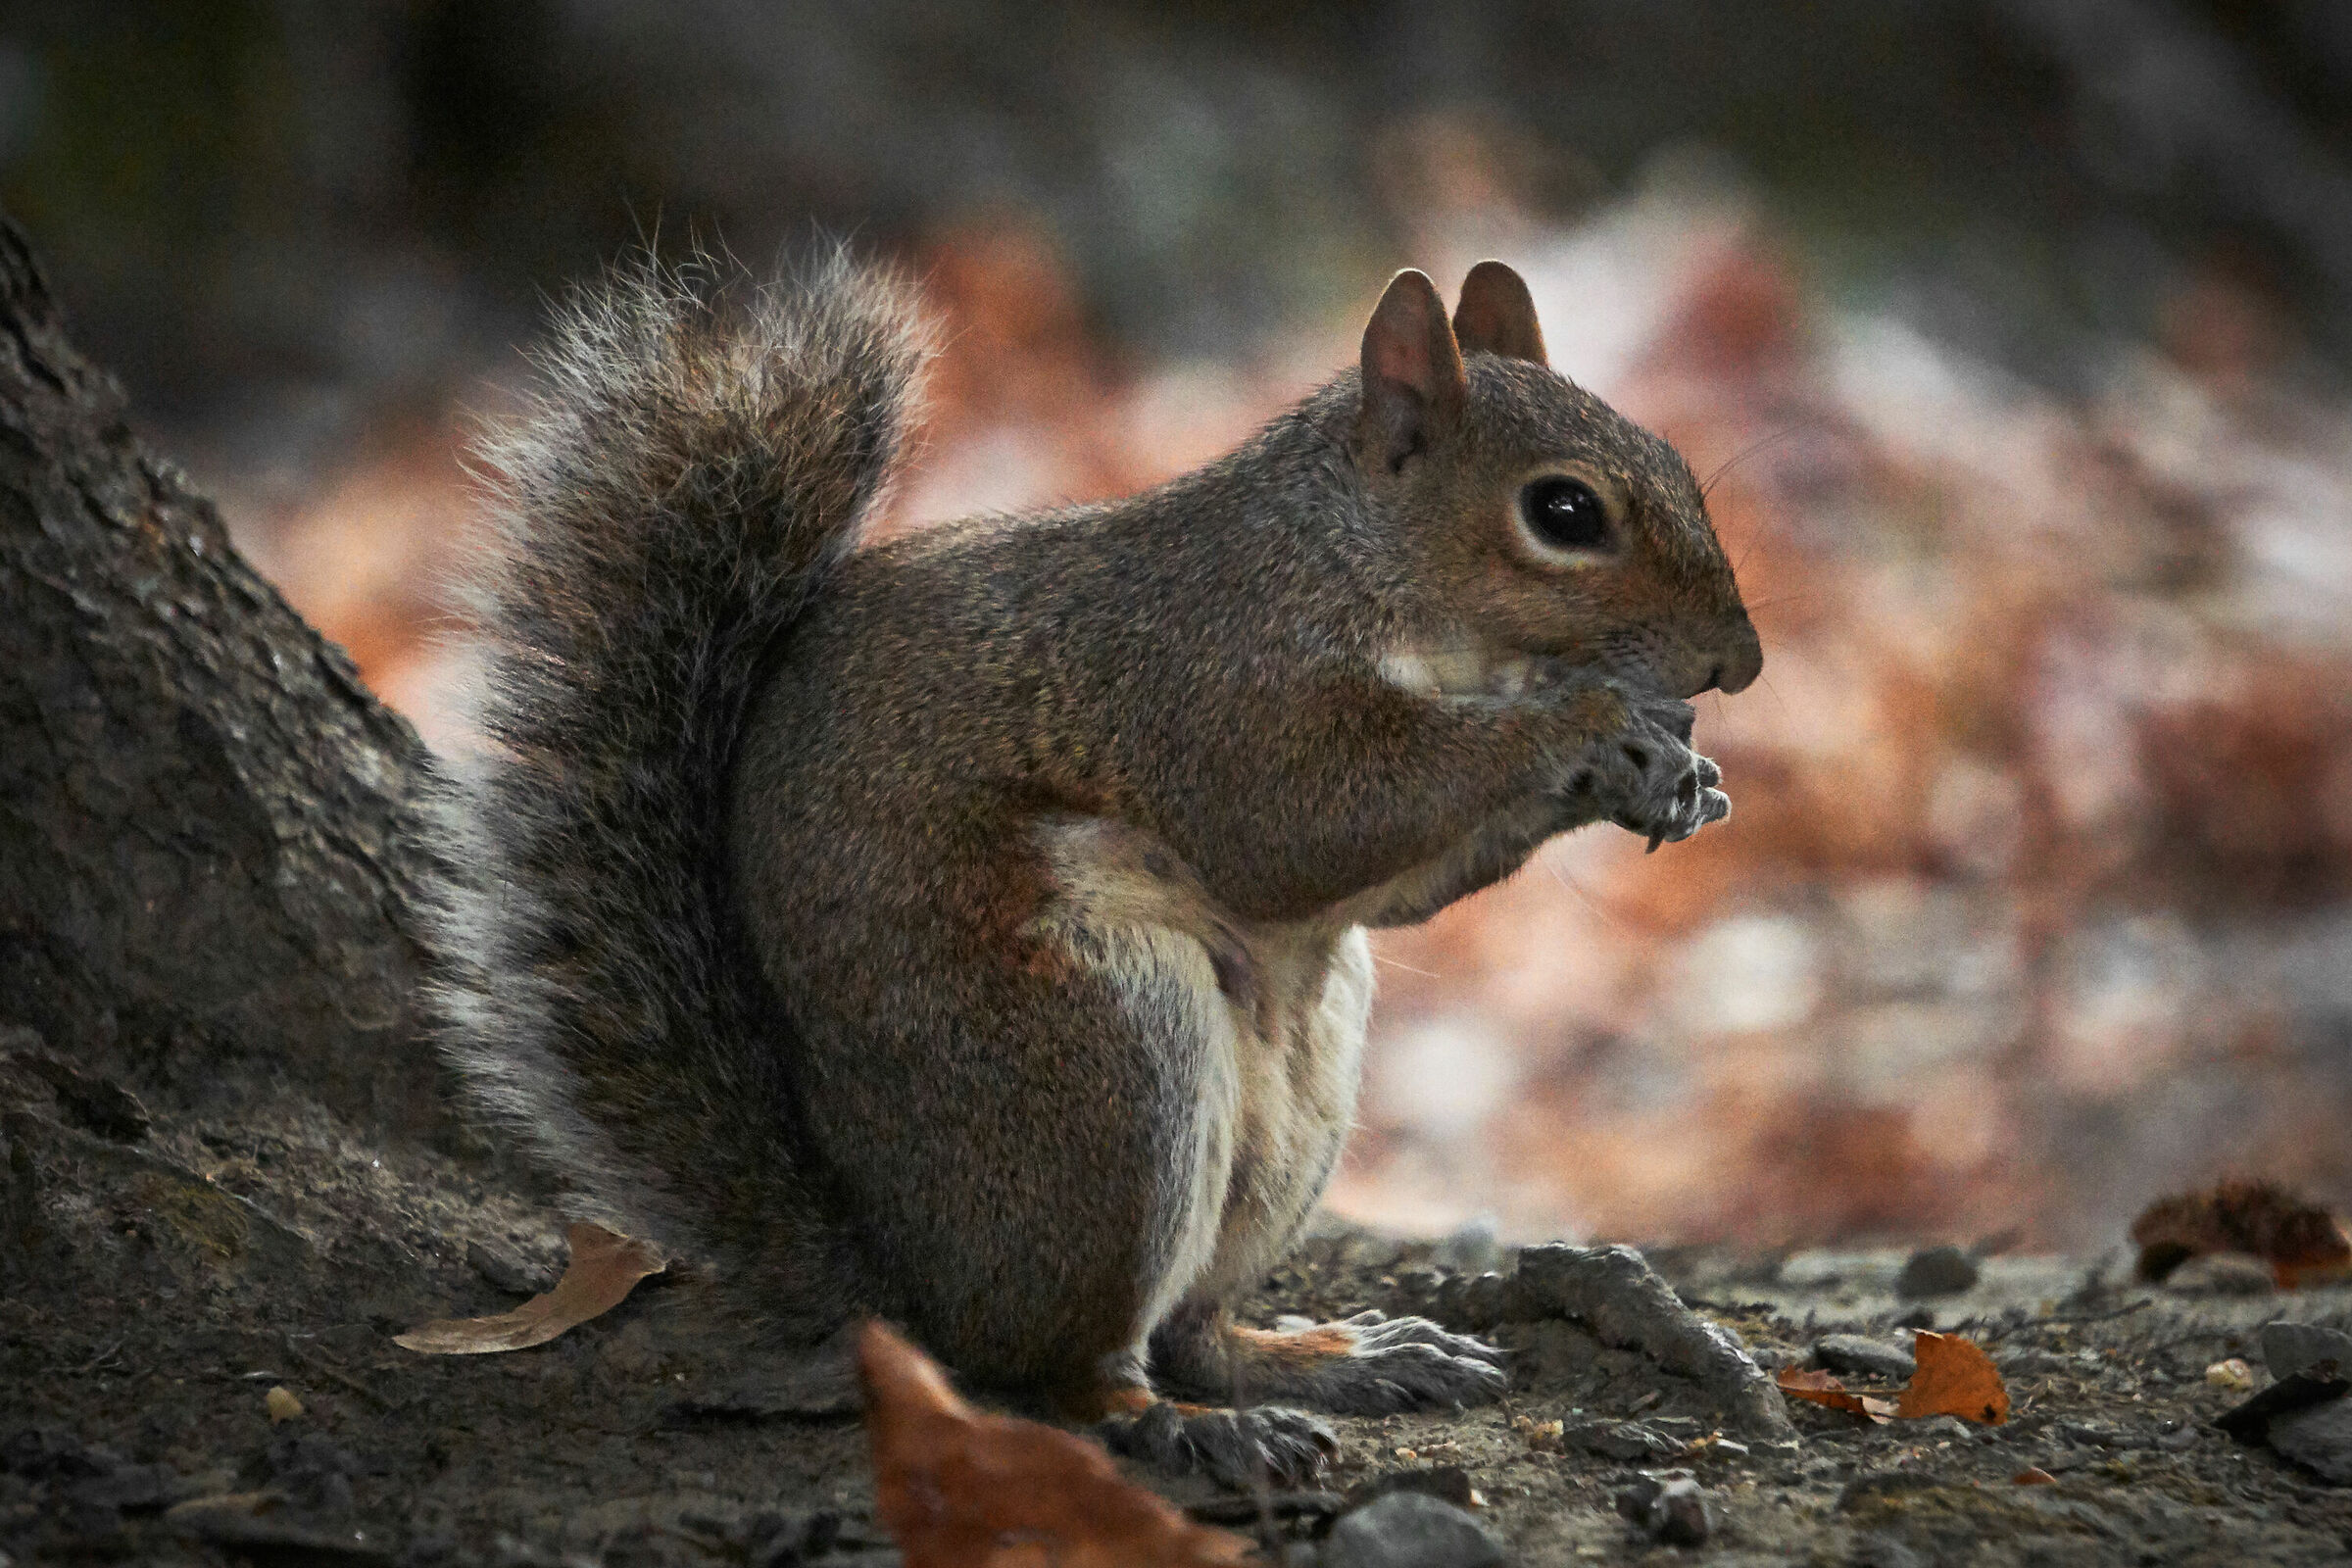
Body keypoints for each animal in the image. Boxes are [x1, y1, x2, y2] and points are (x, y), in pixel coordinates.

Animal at [427, 250, 1761, 1485]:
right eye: (1565, 513)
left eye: (1673, 459)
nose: (1739, 663)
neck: (1352, 563)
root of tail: (907, 1280)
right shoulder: (1216, 689)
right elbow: (1303, 824)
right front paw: (1594, 727)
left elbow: (1389, 884)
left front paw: (1676, 775)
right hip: (1104, 1074)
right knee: (1066, 1372)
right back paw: (1185, 1426)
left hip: (1294, 1102)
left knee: (1196, 1332)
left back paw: (1336, 1359)